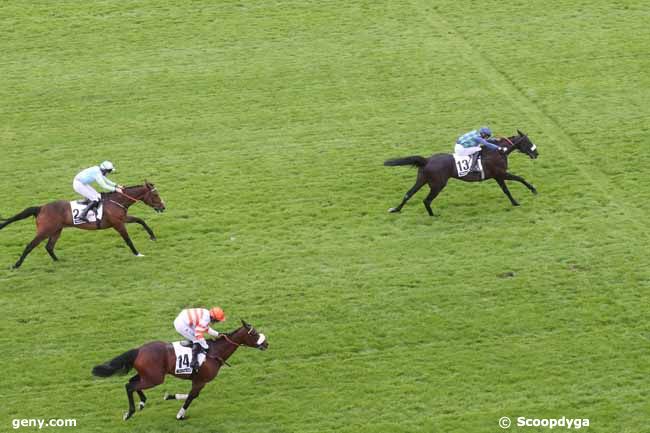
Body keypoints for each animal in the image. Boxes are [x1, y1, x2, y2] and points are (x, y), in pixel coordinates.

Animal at [0, 181, 165, 268]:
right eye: (156, 195)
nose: (163, 207)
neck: (117, 201)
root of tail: (41, 208)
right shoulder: (118, 224)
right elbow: (128, 240)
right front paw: (137, 253)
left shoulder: (122, 218)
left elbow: (140, 220)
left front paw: (152, 236)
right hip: (45, 231)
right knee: (30, 246)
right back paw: (16, 265)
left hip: (56, 230)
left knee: (49, 247)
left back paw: (58, 261)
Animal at [90, 320, 268, 418]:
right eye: (254, 333)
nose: (266, 343)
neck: (214, 352)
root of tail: (139, 350)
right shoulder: (200, 381)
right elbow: (191, 396)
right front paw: (180, 414)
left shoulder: (198, 381)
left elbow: (191, 395)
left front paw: (169, 396)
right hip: (154, 378)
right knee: (129, 386)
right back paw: (130, 412)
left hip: (147, 375)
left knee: (131, 382)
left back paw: (141, 403)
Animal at [384, 129, 536, 215]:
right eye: (528, 142)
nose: (537, 153)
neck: (497, 152)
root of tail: (427, 160)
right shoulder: (500, 174)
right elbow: (517, 181)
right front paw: (530, 192)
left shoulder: (498, 176)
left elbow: (510, 187)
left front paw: (519, 200)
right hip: (437, 184)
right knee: (426, 200)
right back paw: (433, 215)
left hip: (422, 179)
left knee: (408, 194)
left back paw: (396, 210)